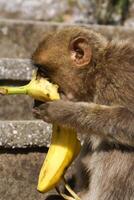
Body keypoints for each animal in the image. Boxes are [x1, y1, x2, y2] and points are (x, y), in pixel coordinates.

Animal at [31, 27, 134, 200]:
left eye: (43, 72)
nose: (35, 99)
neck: (99, 73)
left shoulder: (121, 79)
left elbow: (130, 122)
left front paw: (62, 111)